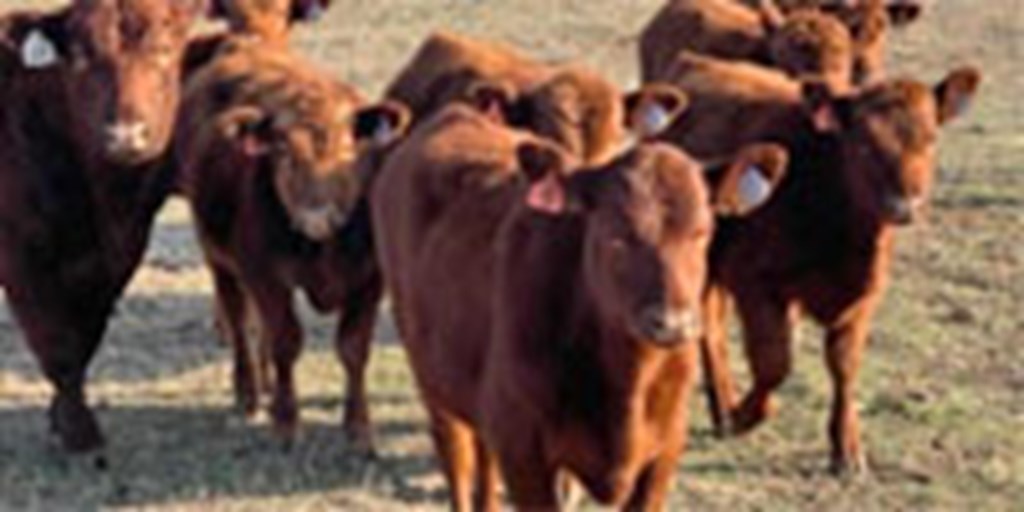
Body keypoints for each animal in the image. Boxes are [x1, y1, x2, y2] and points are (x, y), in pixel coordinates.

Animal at [0, 0, 210, 453]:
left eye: (164, 50)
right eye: (80, 57)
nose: (125, 135)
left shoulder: (118, 255)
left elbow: (86, 335)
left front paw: (61, 416)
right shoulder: (19, 254)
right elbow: (58, 344)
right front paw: (80, 432)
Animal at [175, 41, 409, 450]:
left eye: (350, 147)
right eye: (281, 150)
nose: (316, 217)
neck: (325, 247)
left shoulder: (370, 280)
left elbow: (353, 347)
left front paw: (359, 428)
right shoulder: (265, 275)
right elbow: (286, 341)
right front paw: (286, 422)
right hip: (218, 259)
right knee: (239, 322)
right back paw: (249, 394)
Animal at [369, 101, 789, 510]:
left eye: (702, 231)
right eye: (616, 235)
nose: (673, 324)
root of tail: (452, 114)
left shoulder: (664, 452)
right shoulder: (523, 451)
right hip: (433, 381)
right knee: (457, 458)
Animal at [656, 52, 982, 475]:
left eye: (930, 139)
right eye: (863, 144)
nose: (904, 206)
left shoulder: (863, 296)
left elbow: (844, 365)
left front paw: (847, 449)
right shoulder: (756, 283)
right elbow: (774, 363)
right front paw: (747, 415)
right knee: (710, 329)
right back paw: (726, 408)